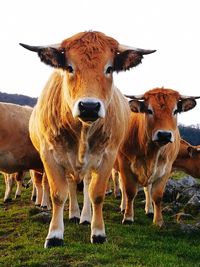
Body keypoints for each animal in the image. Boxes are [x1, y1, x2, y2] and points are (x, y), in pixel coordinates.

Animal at [19, 30, 155, 248]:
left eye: (109, 68)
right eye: (69, 67)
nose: (89, 106)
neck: (82, 129)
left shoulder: (107, 156)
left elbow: (96, 194)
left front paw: (98, 232)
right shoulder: (50, 156)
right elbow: (58, 195)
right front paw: (54, 234)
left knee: (86, 187)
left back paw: (84, 217)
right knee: (71, 187)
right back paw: (74, 214)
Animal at [117, 89, 198, 227]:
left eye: (175, 111)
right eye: (149, 110)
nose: (164, 134)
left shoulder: (166, 169)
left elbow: (157, 195)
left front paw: (158, 220)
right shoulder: (125, 165)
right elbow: (130, 192)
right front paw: (128, 217)